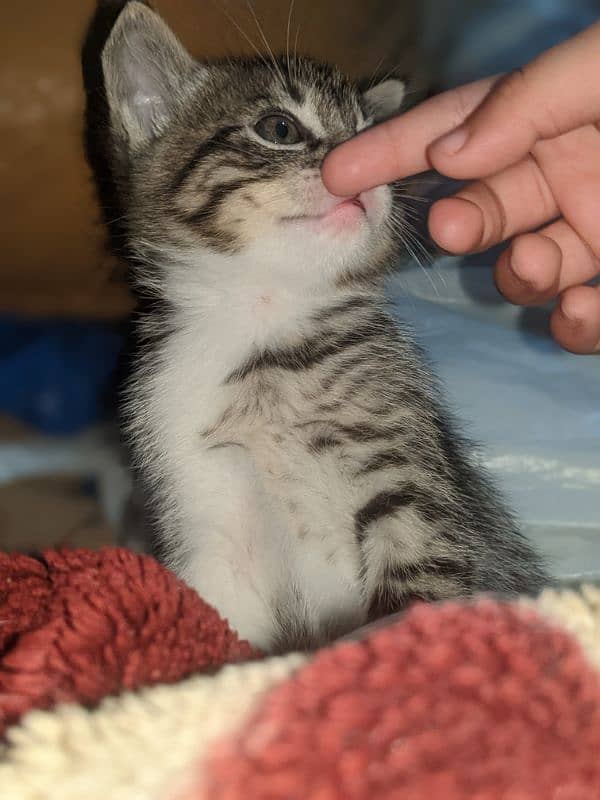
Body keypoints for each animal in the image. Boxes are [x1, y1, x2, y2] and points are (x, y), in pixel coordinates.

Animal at [95, 1, 548, 648]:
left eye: (371, 138)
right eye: (279, 128)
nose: (365, 173)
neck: (262, 322)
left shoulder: (408, 474)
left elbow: (418, 580)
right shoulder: (203, 515)